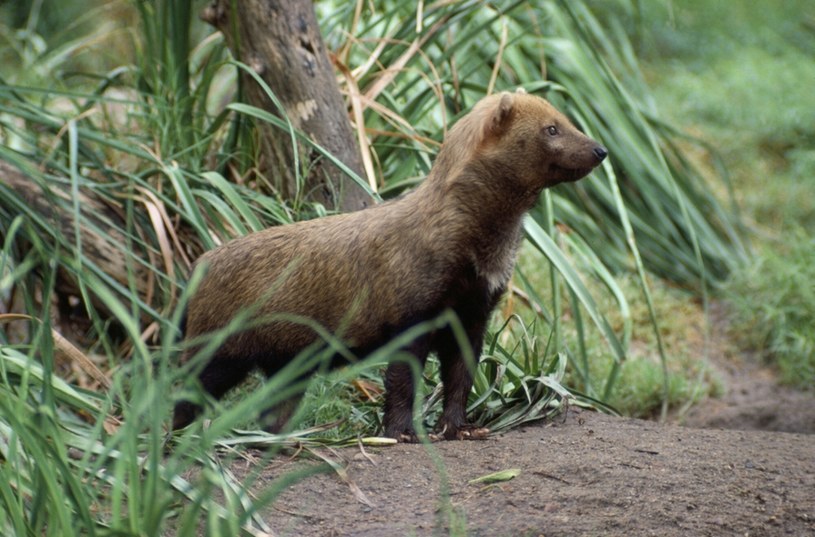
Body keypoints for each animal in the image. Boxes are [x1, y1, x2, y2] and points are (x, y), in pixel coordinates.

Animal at [172, 89, 604, 440]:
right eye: (552, 128)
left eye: (566, 119)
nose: (600, 149)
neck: (479, 255)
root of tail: (199, 264)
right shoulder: (411, 310)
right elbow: (402, 381)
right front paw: (402, 433)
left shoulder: (473, 313)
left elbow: (460, 377)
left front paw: (461, 428)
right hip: (217, 350)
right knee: (179, 394)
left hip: (286, 364)